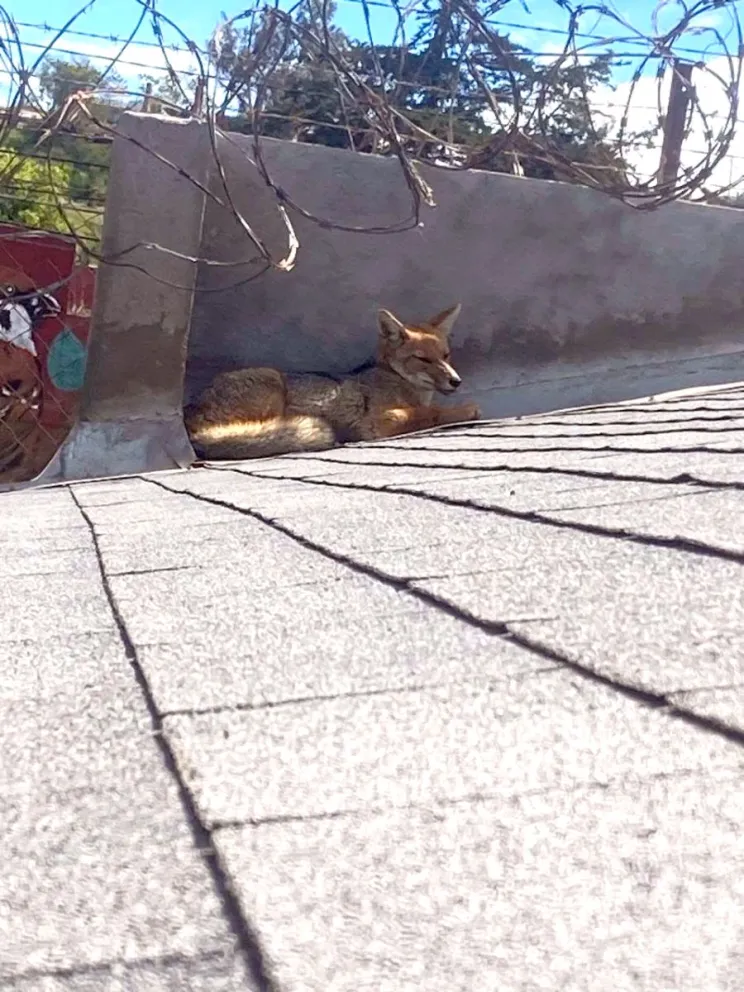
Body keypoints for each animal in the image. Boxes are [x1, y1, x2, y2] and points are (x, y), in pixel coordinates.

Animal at [184, 303, 481, 461]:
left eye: (445, 355)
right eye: (423, 359)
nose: (456, 381)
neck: (393, 377)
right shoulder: (376, 423)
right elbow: (430, 412)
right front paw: (465, 410)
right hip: (272, 379)